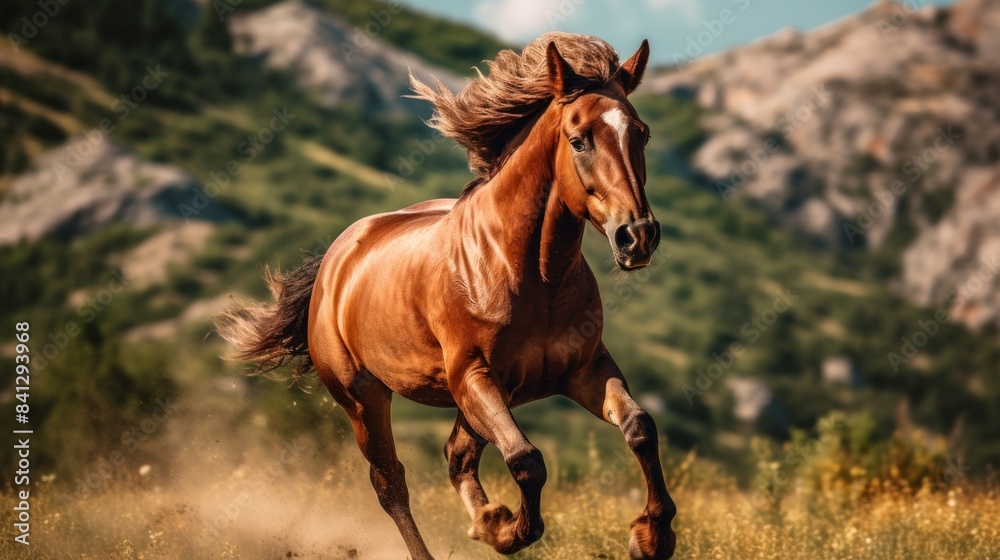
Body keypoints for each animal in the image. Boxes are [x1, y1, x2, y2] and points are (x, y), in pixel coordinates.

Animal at [216, 32, 676, 559]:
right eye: (578, 140)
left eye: (641, 133)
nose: (637, 236)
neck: (532, 276)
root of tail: (337, 256)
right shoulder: (474, 376)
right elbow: (527, 460)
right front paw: (507, 531)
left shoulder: (583, 370)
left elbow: (640, 427)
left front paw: (652, 537)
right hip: (363, 398)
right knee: (391, 484)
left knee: (455, 456)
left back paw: (485, 517)